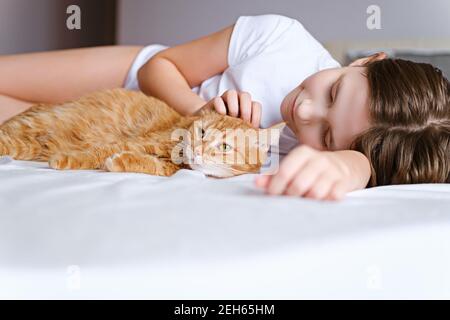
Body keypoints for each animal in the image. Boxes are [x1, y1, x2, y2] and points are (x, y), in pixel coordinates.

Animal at [0, 88, 284, 178]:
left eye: (224, 147)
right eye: (202, 132)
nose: (199, 149)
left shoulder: (165, 167)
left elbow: (150, 165)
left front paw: (119, 162)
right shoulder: (137, 141)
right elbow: (96, 153)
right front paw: (69, 159)